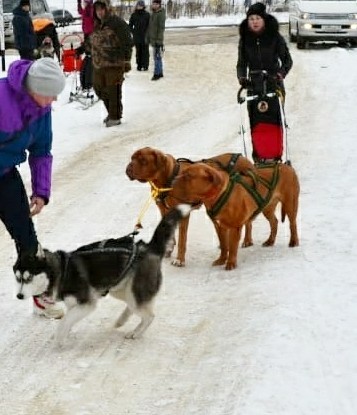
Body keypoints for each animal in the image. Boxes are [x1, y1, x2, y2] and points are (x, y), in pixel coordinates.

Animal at [125, 148, 253, 268]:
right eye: (132, 158)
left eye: (143, 160)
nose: (128, 168)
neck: (168, 180)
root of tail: (244, 158)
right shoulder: (163, 210)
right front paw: (169, 248)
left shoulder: (183, 213)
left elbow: (182, 240)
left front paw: (179, 260)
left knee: (248, 221)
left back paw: (247, 240)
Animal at [170, 161, 298, 272]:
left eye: (188, 176)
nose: (172, 182)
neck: (217, 194)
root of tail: (287, 166)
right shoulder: (219, 226)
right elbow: (224, 245)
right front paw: (221, 260)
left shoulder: (234, 227)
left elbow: (231, 247)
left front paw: (230, 263)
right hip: (267, 207)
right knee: (274, 222)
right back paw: (270, 241)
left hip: (290, 204)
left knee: (292, 224)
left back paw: (293, 241)